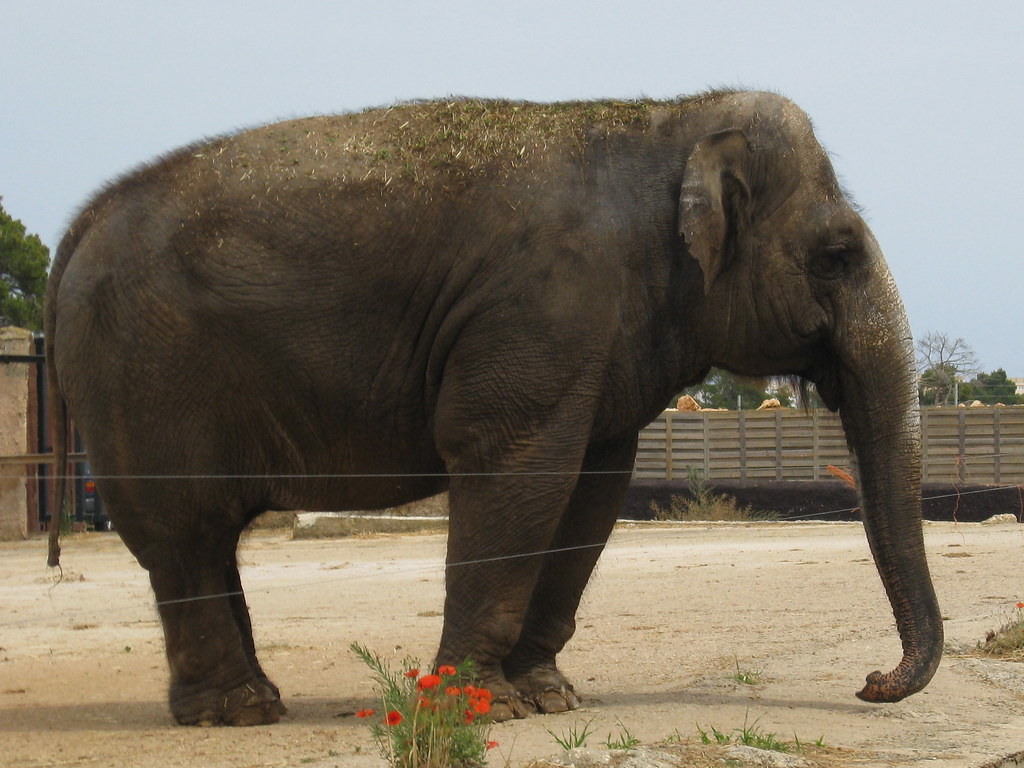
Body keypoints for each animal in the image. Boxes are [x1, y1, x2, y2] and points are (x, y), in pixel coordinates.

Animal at [45, 90, 943, 726]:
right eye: (836, 256)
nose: (870, 682)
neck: (668, 120)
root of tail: (79, 220)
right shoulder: (539, 313)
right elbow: (516, 470)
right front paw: (484, 707)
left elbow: (592, 490)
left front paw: (549, 698)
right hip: (143, 377)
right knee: (187, 535)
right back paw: (237, 715)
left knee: (204, 541)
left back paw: (251, 705)